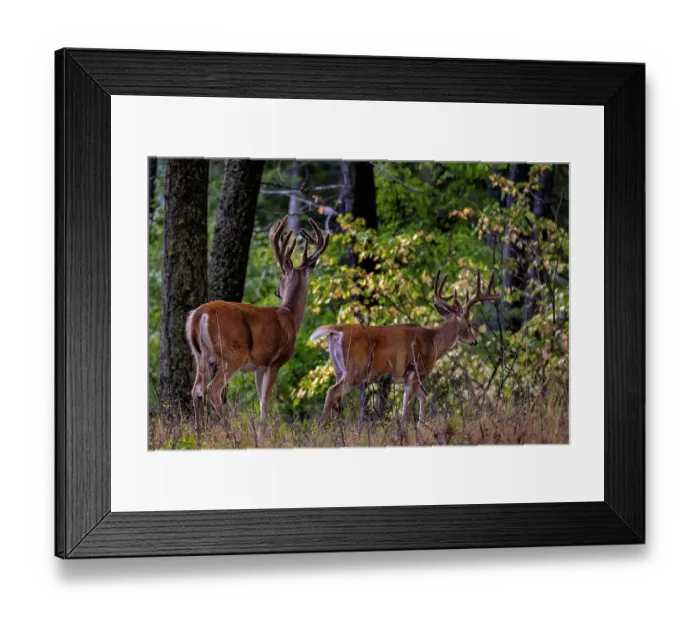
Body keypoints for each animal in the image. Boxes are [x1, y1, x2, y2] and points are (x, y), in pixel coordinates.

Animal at [186, 216, 329, 446]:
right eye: (281, 275)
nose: (277, 291)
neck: (290, 315)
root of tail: (199, 315)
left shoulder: (258, 366)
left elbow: (261, 400)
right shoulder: (274, 362)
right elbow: (265, 403)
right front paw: (261, 439)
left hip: (201, 355)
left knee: (197, 390)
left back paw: (199, 440)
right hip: (231, 354)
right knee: (212, 389)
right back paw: (233, 438)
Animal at [309, 269, 500, 431]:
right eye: (469, 324)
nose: (474, 341)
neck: (434, 342)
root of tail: (337, 329)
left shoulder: (406, 376)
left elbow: (421, 397)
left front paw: (420, 426)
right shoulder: (417, 371)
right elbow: (408, 405)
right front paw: (403, 429)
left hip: (338, 369)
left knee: (335, 397)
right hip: (356, 369)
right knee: (332, 391)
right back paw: (322, 429)